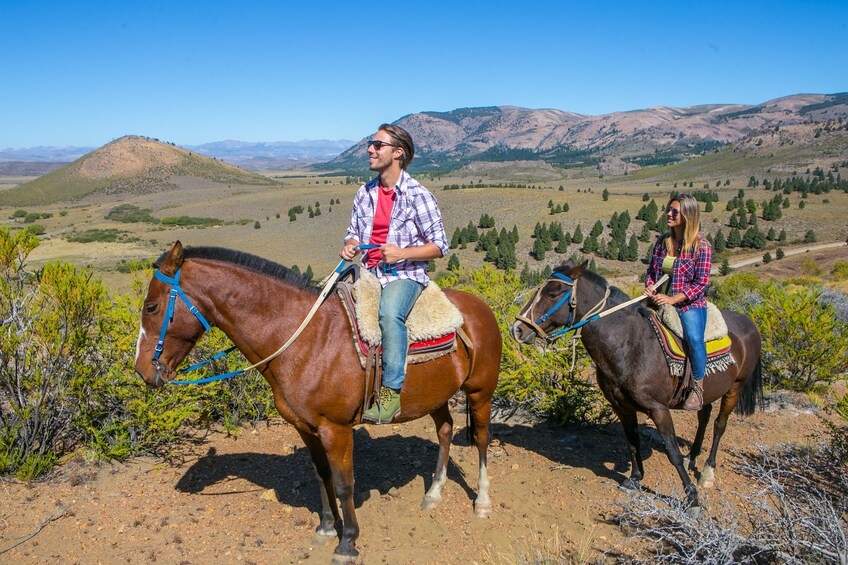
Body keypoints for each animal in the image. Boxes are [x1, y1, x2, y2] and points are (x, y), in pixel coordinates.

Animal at [135, 241, 500, 560]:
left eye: (151, 307)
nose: (141, 371)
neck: (304, 337)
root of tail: (480, 306)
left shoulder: (334, 429)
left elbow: (343, 483)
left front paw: (348, 542)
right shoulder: (304, 427)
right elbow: (321, 475)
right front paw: (326, 527)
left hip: (480, 392)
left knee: (482, 438)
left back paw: (482, 502)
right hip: (437, 396)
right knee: (445, 430)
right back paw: (433, 494)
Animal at [510, 262, 760, 512]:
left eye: (552, 294)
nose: (517, 329)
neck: (628, 344)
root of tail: (748, 322)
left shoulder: (659, 409)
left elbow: (672, 452)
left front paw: (692, 497)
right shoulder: (622, 407)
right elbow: (632, 443)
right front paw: (635, 478)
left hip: (735, 388)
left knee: (719, 425)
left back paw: (707, 472)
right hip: (705, 392)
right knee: (704, 415)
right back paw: (693, 457)